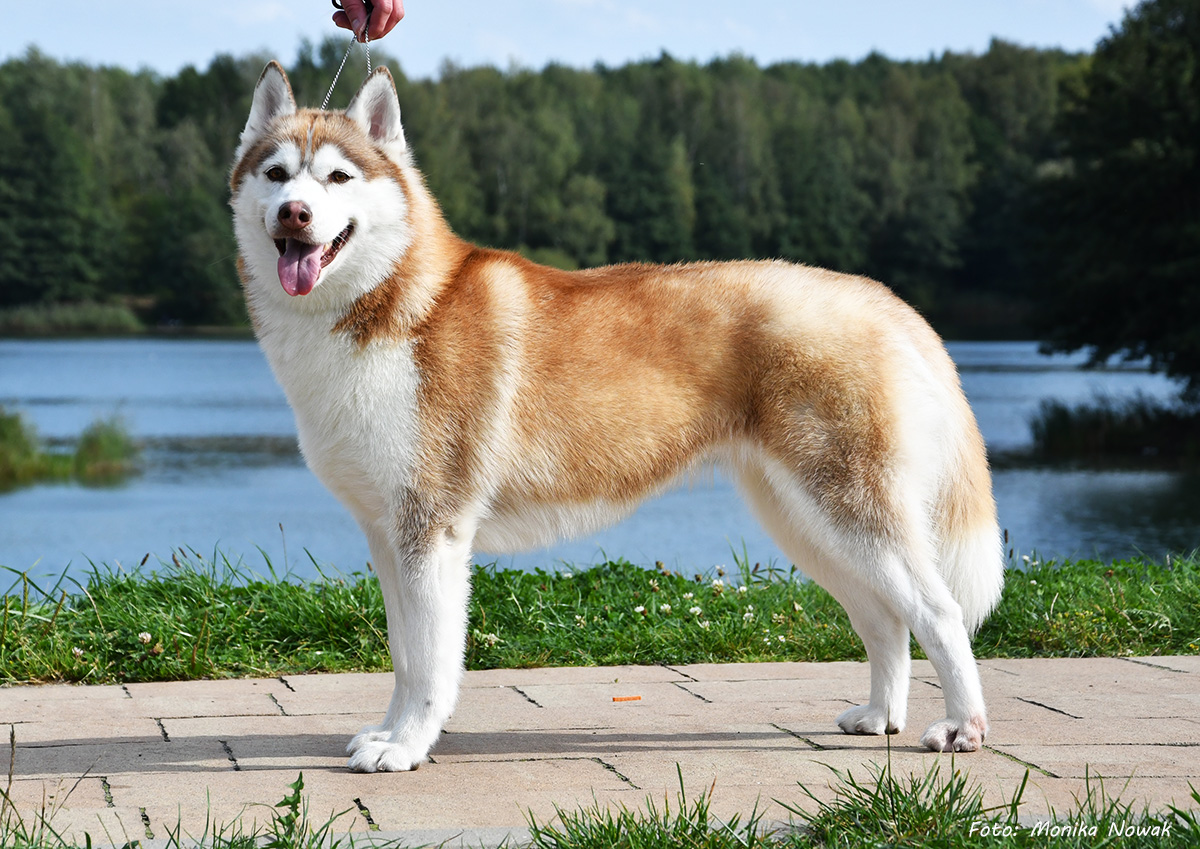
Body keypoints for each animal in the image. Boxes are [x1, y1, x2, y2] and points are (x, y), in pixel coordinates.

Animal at [230, 62, 1004, 772]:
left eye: (336, 178)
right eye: (276, 173)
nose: (294, 214)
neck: (387, 305)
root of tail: (879, 297)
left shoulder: (433, 532)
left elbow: (428, 662)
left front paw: (408, 745)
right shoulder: (388, 534)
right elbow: (401, 654)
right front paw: (389, 733)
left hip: (848, 510)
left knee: (940, 613)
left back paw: (962, 727)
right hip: (806, 521)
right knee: (884, 619)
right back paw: (878, 716)